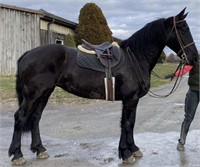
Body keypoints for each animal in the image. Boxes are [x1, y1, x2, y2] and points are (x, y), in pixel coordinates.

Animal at [8, 8, 198, 165]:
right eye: (183, 29)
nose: (195, 57)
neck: (135, 59)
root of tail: (28, 54)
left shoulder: (132, 100)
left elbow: (130, 123)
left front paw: (133, 149)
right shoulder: (130, 99)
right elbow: (126, 124)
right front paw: (126, 153)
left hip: (45, 93)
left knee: (35, 117)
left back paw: (40, 149)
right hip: (33, 95)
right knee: (20, 117)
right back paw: (17, 155)